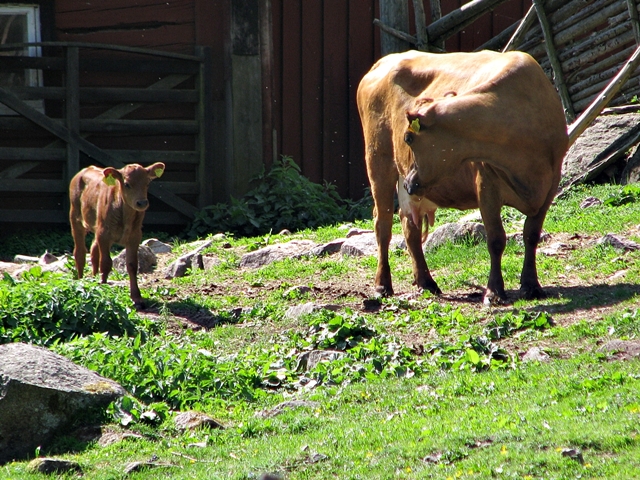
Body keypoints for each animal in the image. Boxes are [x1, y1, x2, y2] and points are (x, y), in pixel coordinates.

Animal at [69, 163, 165, 310]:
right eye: (127, 184)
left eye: (147, 182)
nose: (142, 203)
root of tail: (86, 169)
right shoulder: (104, 234)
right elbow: (106, 263)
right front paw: (103, 288)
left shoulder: (135, 236)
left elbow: (132, 265)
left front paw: (137, 298)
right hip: (75, 217)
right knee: (80, 252)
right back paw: (80, 281)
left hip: (97, 227)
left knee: (93, 250)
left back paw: (93, 279)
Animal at [356, 49, 568, 304]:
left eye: (408, 138)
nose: (409, 182)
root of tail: (383, 61)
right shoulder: (486, 183)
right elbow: (496, 239)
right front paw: (494, 292)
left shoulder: (550, 184)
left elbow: (532, 235)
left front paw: (531, 286)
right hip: (378, 161)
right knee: (383, 223)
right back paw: (382, 285)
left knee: (410, 227)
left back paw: (426, 282)